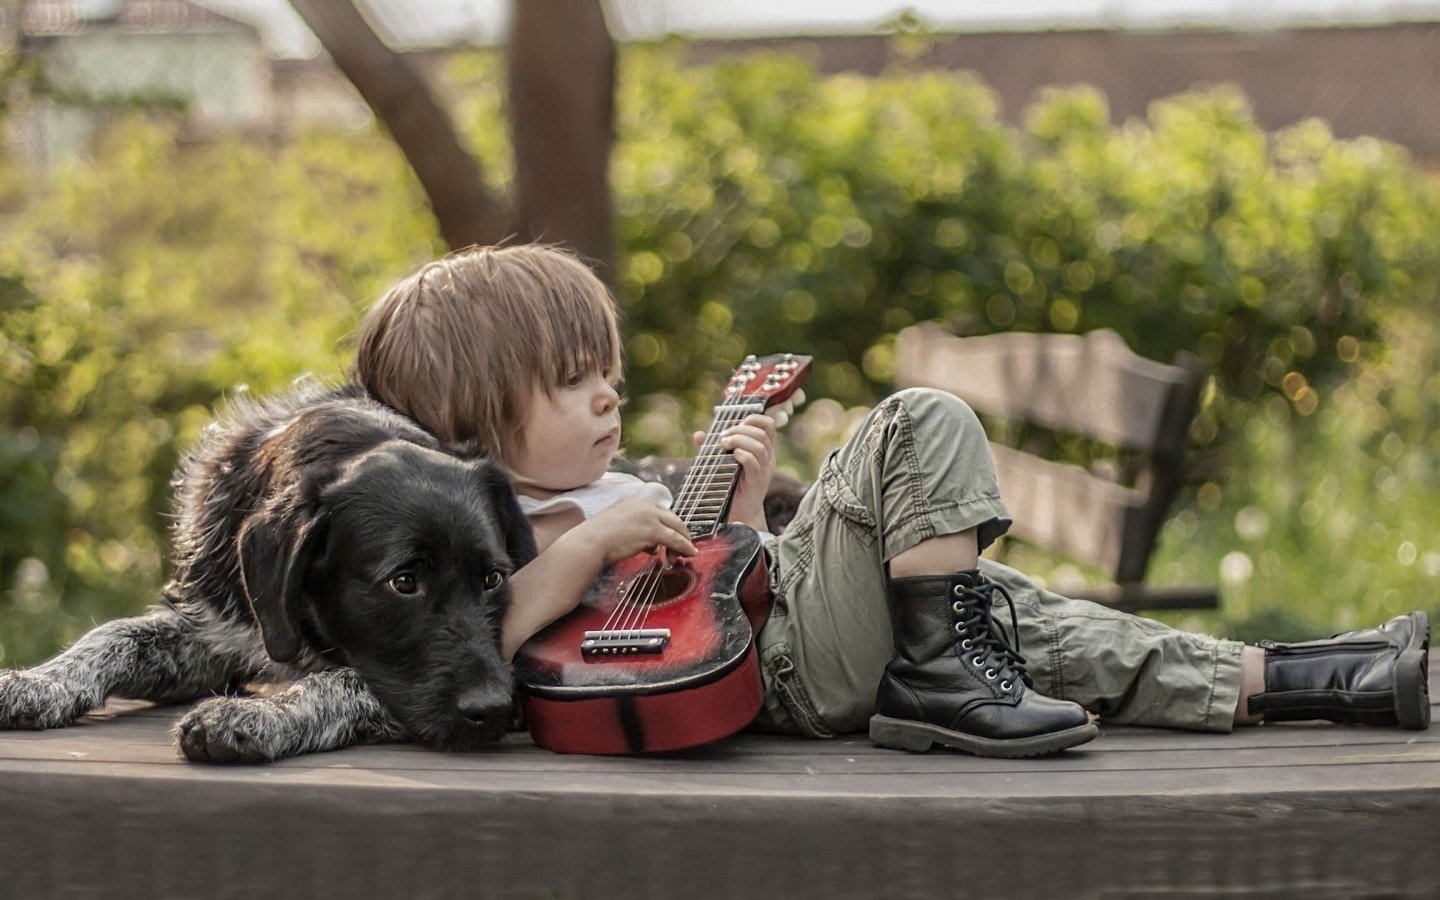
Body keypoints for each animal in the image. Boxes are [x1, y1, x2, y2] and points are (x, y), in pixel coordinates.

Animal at [0, 380, 535, 760]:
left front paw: (255, 715)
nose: (498, 709)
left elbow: (340, 680)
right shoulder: (214, 636)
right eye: (404, 582)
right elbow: (115, 634)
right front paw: (41, 682)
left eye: (493, 579)